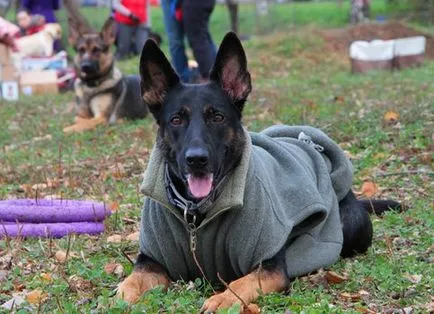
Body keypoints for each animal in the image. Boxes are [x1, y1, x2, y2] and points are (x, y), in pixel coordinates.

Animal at [116, 32, 404, 312]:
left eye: (217, 117)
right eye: (176, 119)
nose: (196, 160)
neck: (196, 214)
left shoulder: (270, 268)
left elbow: (241, 282)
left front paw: (223, 299)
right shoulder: (150, 261)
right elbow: (133, 280)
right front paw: (123, 293)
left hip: (350, 227)